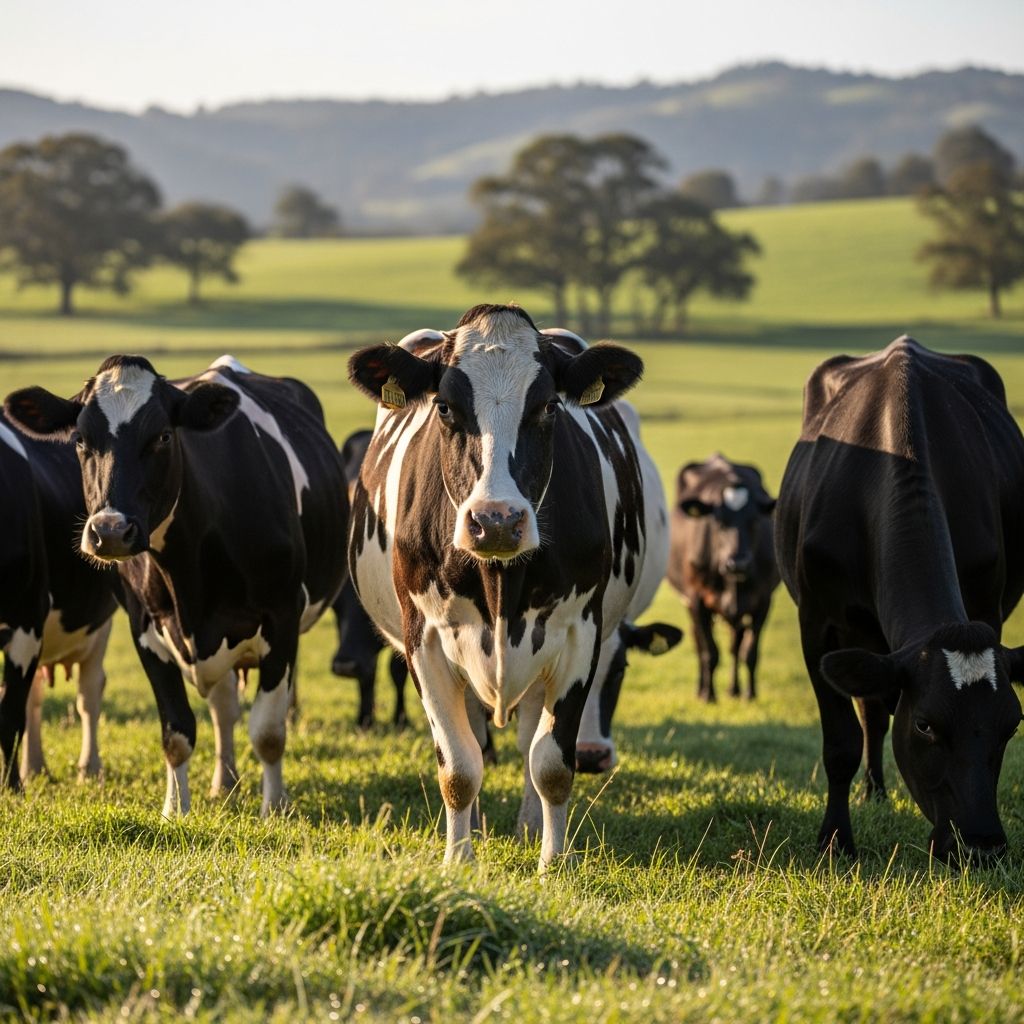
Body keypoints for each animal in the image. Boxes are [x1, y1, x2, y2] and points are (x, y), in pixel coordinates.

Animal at [1, 413, 119, 787]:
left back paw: (89, 768)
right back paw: (35, 766)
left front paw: (11, 786)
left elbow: (9, 712)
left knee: (89, 693)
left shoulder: (26, 619)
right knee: (36, 699)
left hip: (100, 625)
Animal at [347, 303, 666, 871]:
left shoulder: (580, 635)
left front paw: (553, 861)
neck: (499, 581)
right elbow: (458, 766)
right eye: (446, 407)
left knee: (526, 738)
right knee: (475, 736)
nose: (495, 520)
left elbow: (552, 763)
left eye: (547, 407)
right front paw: (459, 860)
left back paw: (527, 826)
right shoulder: (424, 639)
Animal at [666, 454, 779, 702]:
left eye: (755, 521)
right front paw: (708, 695)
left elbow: (750, 651)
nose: (737, 563)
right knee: (699, 643)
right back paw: (701, 689)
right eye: (718, 522)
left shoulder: (763, 600)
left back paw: (734, 690)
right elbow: (710, 651)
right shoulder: (697, 599)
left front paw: (750, 694)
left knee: (735, 647)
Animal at [775, 337, 1024, 862]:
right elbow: (841, 742)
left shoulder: (987, 607)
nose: (982, 846)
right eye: (926, 725)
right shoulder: (818, 624)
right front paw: (835, 840)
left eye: (1012, 724)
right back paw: (873, 794)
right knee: (870, 716)